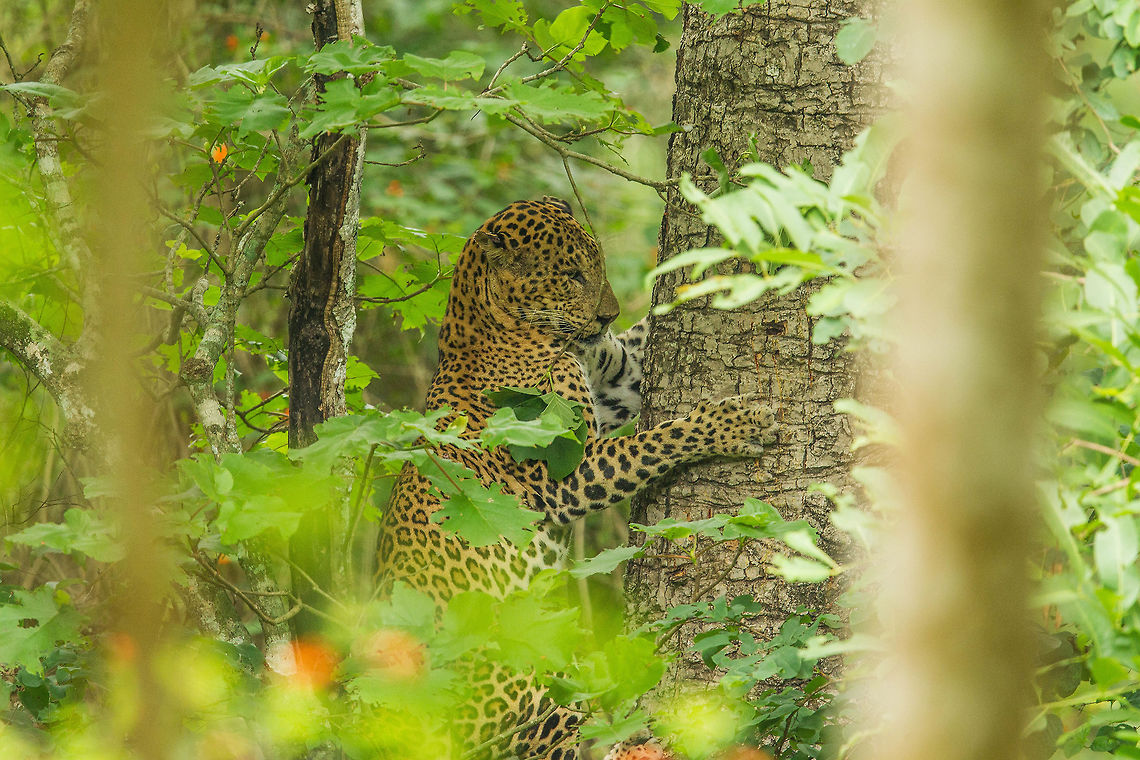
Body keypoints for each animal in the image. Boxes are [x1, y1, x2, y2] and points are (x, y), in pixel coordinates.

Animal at [376, 198, 778, 760]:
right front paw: (736, 423)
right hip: (529, 687)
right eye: (570, 275)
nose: (607, 314)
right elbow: (658, 440)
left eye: (597, 265)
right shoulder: (567, 471)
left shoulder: (616, 377)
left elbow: (641, 340)